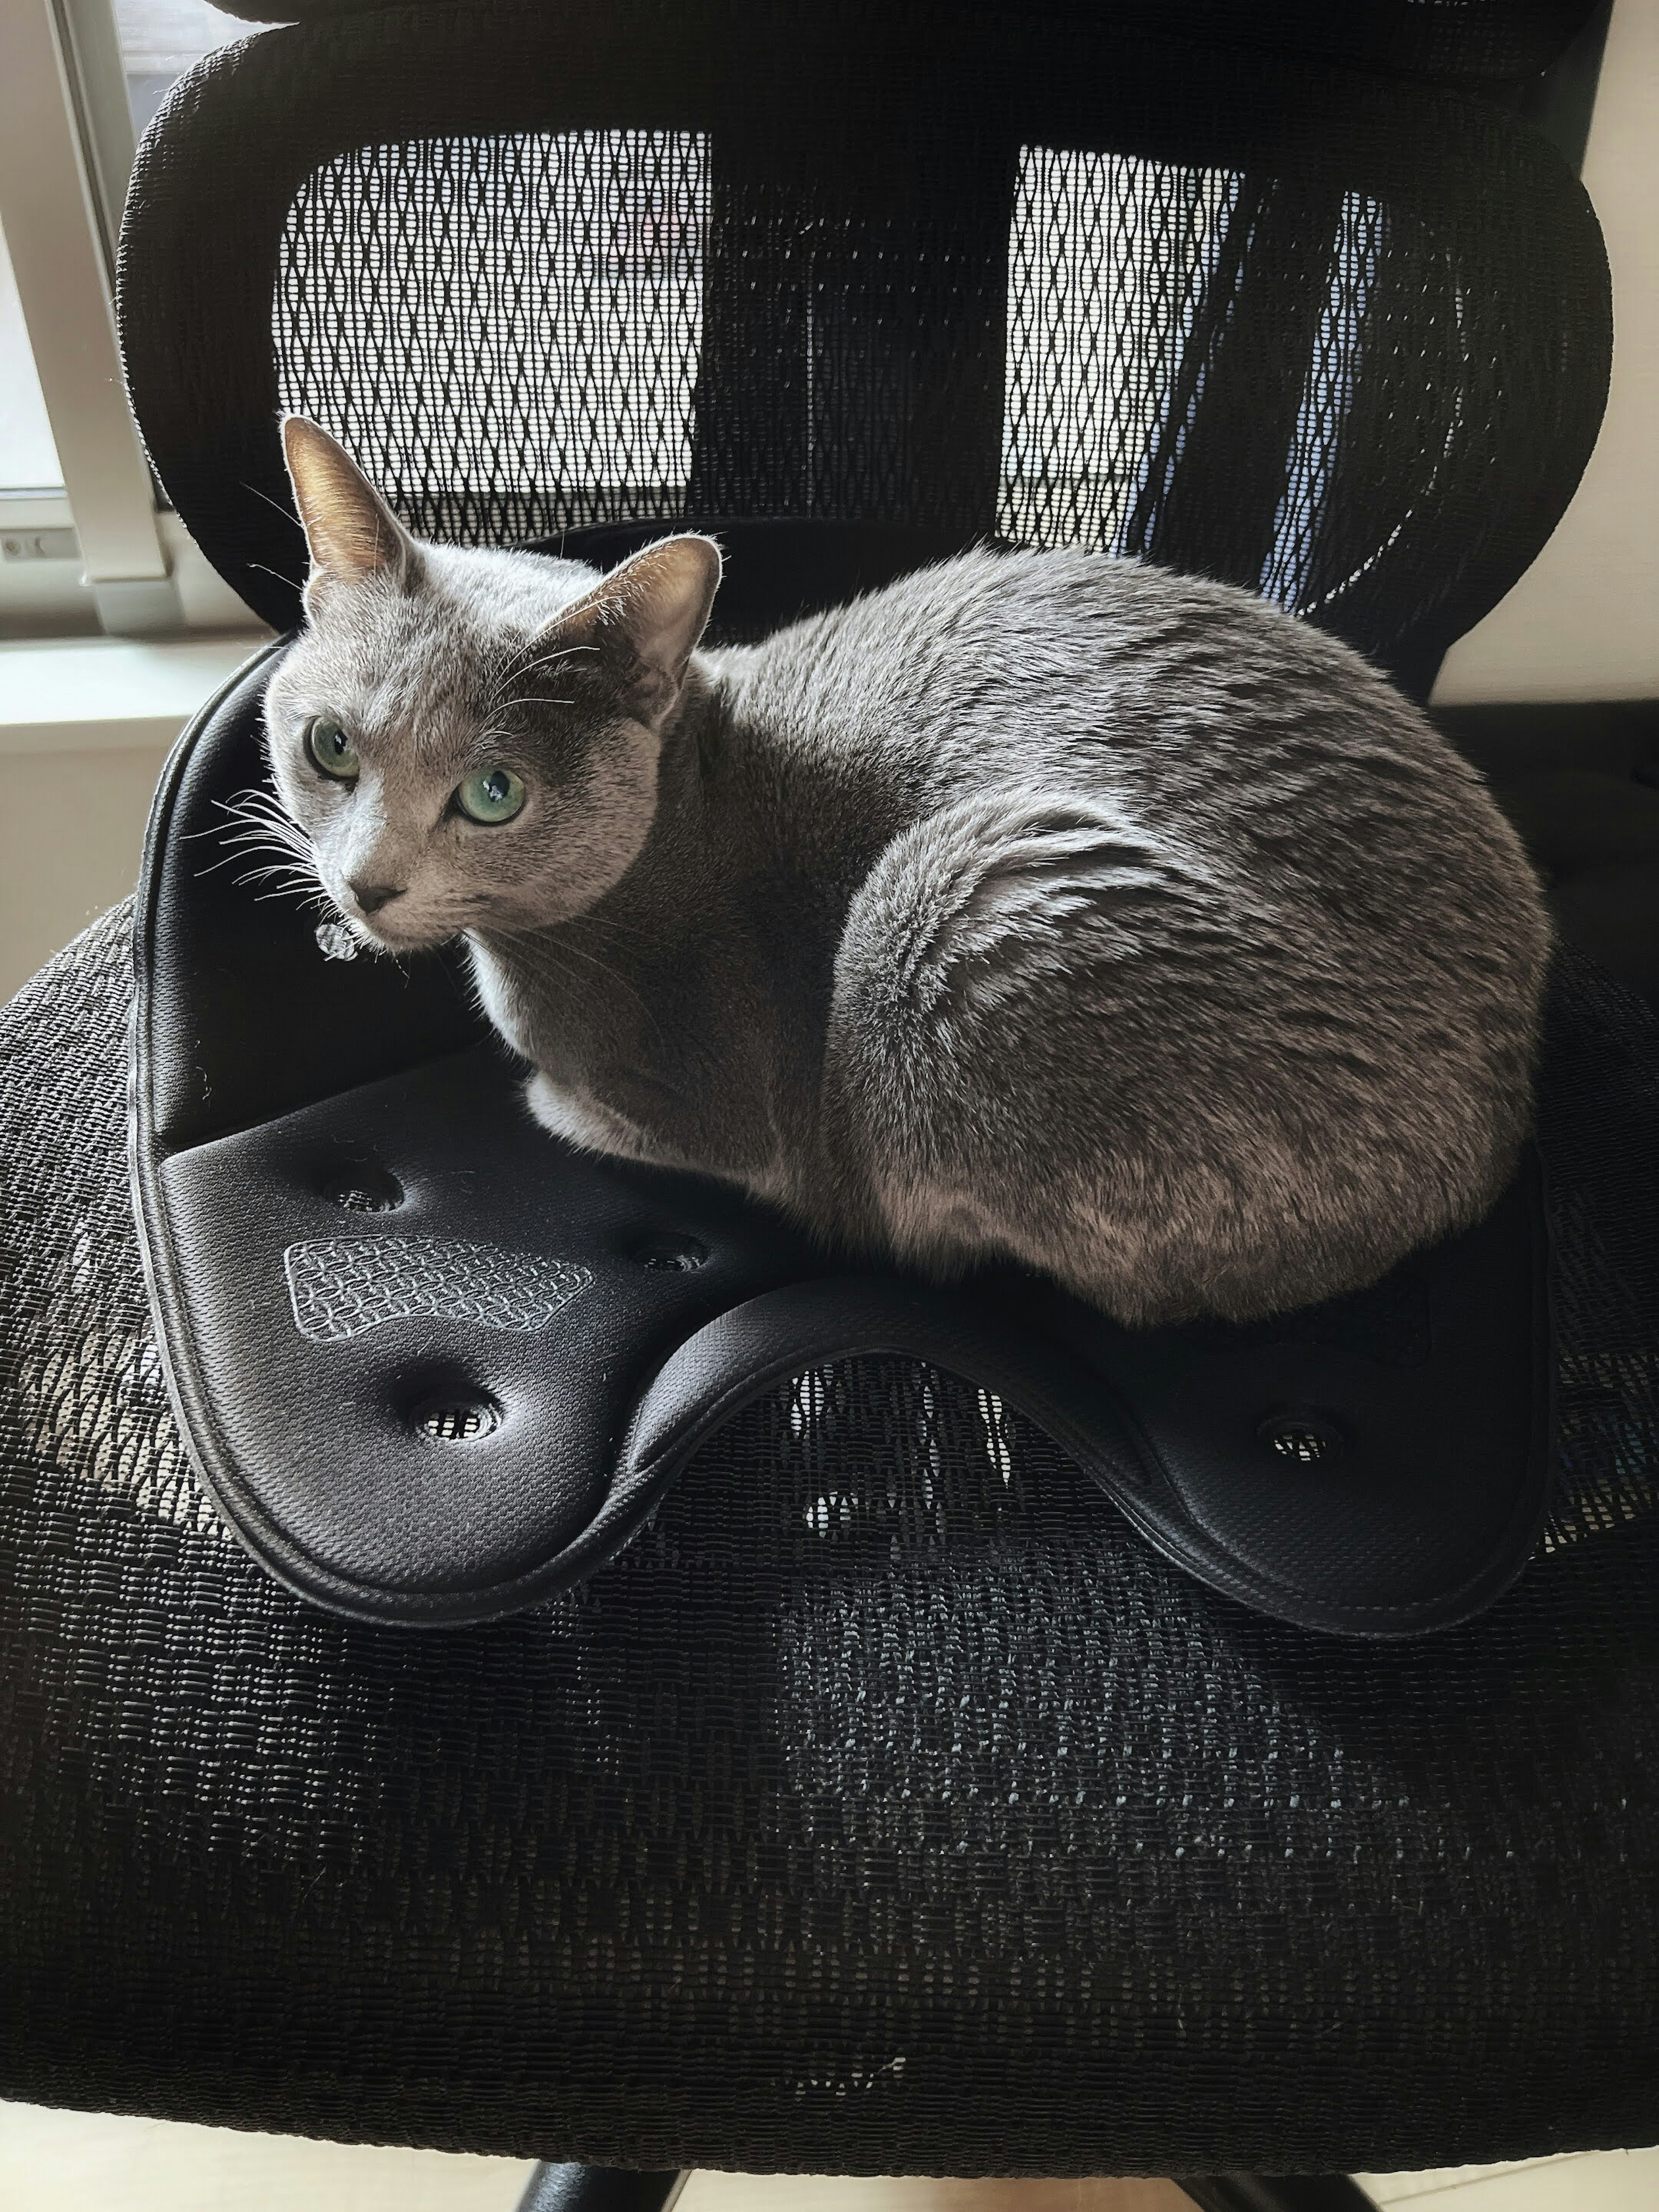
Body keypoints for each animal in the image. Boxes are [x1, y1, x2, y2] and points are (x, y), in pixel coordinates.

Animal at [256, 418, 1548, 1327]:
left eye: (492, 795)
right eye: (331, 747)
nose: (366, 885)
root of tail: (1498, 1129)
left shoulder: (720, 1104)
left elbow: (610, 1114)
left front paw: (548, 1093)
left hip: (963, 895)